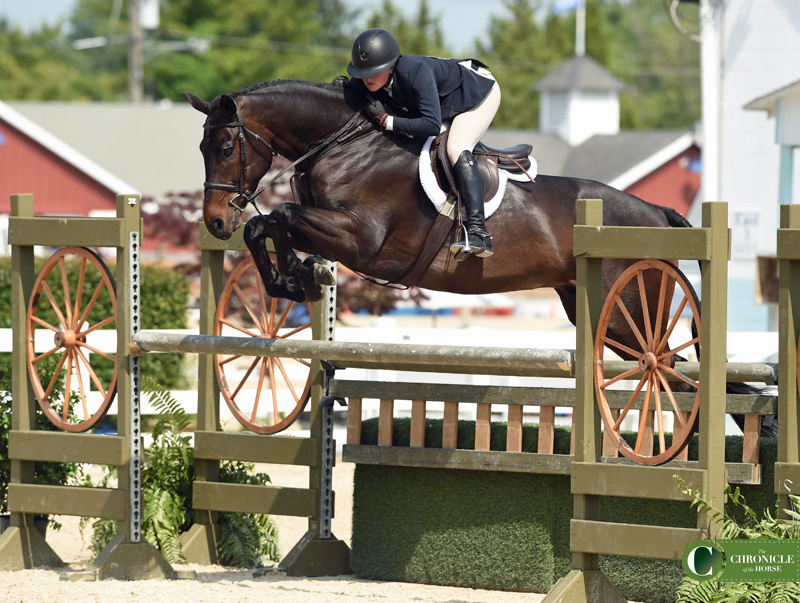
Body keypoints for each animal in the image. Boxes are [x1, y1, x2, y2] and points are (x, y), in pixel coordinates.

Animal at [186, 79, 776, 448]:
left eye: (226, 145)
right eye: (201, 147)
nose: (214, 222)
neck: (344, 144)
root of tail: (655, 211)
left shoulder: (362, 239)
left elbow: (280, 216)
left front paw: (297, 276)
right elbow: (267, 225)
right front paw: (293, 280)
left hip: (633, 316)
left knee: (672, 372)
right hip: (603, 319)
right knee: (679, 376)